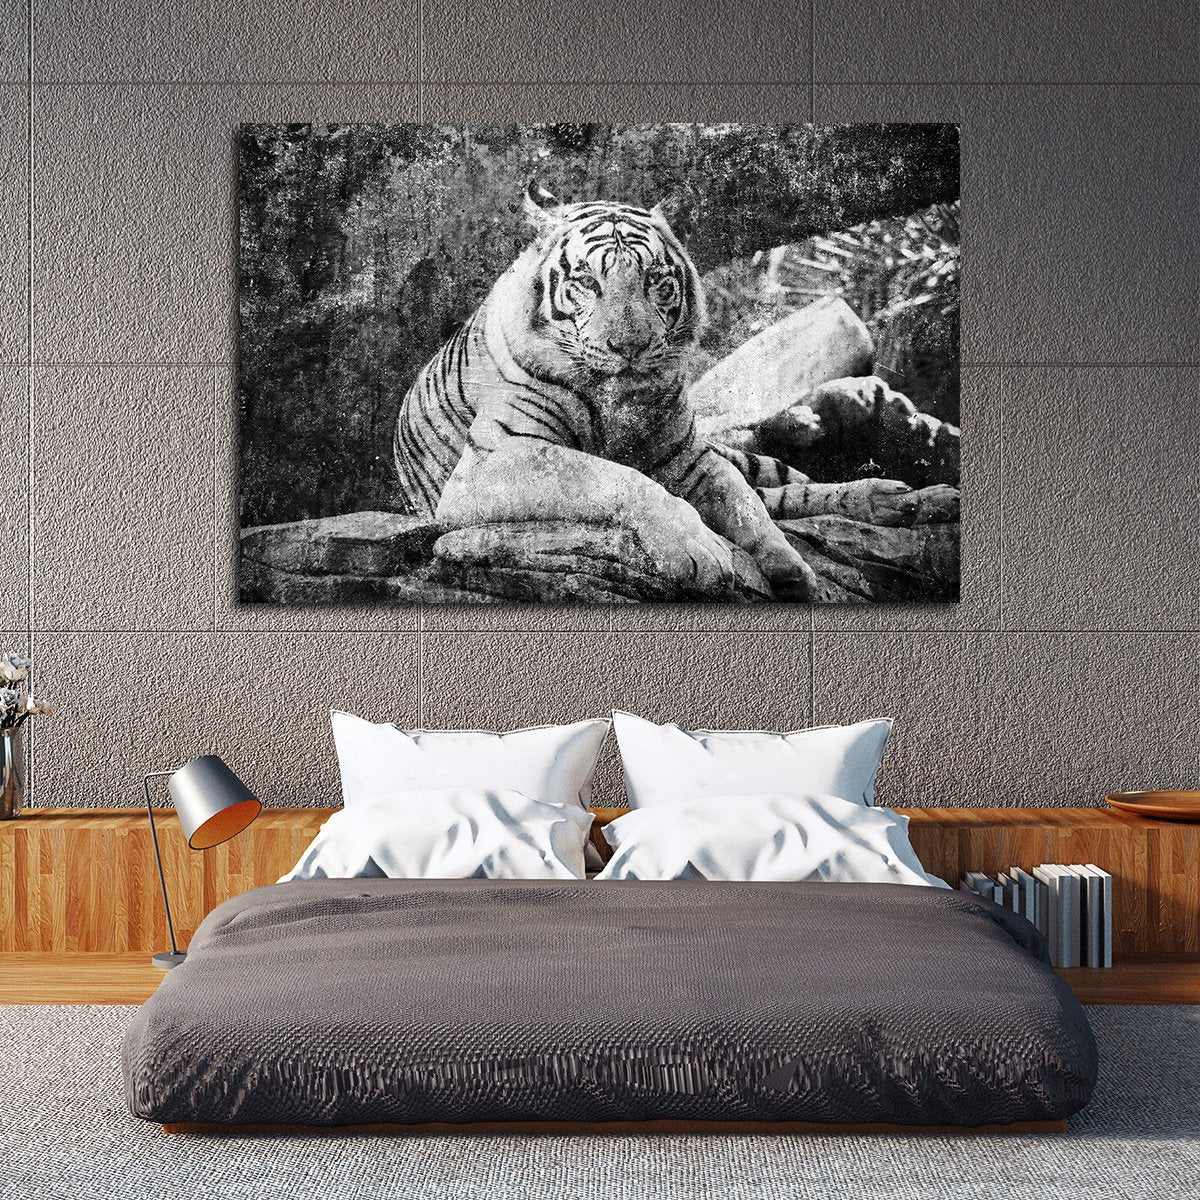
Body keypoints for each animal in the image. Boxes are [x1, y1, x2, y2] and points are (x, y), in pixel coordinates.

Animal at [394, 181, 878, 599]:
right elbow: (620, 478)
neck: (619, 405)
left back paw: (882, 495)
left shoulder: (688, 455)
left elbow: (742, 500)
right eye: (587, 282)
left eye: (653, 280)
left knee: (783, 485)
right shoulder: (494, 459)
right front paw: (699, 551)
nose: (630, 346)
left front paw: (794, 568)